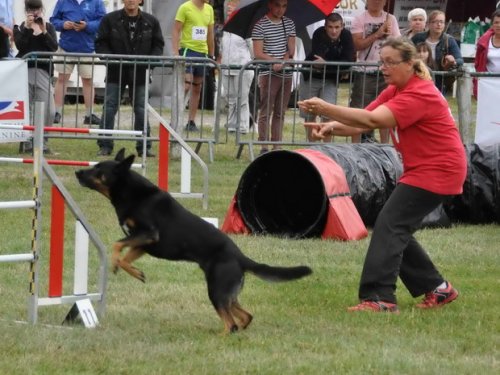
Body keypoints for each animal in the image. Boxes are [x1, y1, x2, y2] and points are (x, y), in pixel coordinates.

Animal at [74, 148, 310, 334]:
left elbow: (116, 244)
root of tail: (240, 257)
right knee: (245, 317)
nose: (77, 171)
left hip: (216, 290)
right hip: (226, 293)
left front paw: (115, 264)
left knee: (231, 324)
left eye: (98, 170)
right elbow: (126, 257)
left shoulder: (148, 234)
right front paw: (134, 272)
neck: (131, 192)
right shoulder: (144, 243)